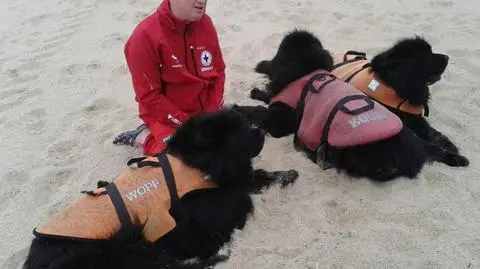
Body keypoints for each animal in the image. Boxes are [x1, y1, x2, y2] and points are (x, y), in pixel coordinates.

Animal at [24, 108, 300, 268]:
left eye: (244, 122)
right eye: (241, 131)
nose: (261, 129)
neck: (196, 161)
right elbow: (244, 190)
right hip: (124, 246)